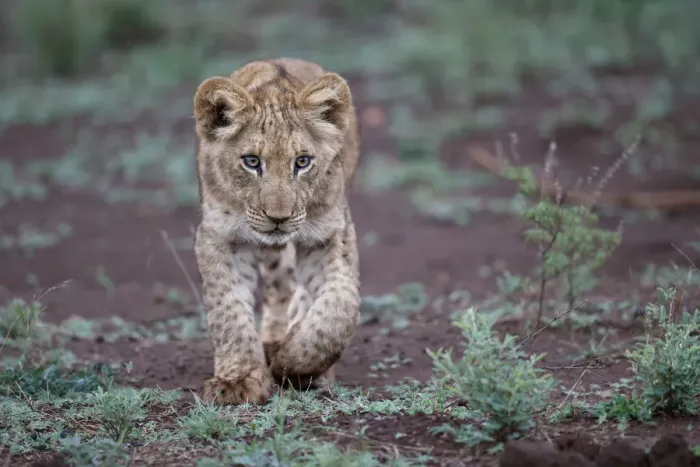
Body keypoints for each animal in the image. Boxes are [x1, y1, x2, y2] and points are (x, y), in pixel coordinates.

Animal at [192, 57, 361, 405]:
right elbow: (228, 307)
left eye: (303, 162)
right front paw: (238, 380)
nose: (278, 218)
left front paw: (293, 363)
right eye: (252, 161)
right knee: (279, 286)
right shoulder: (218, 236)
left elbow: (339, 306)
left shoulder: (331, 233)